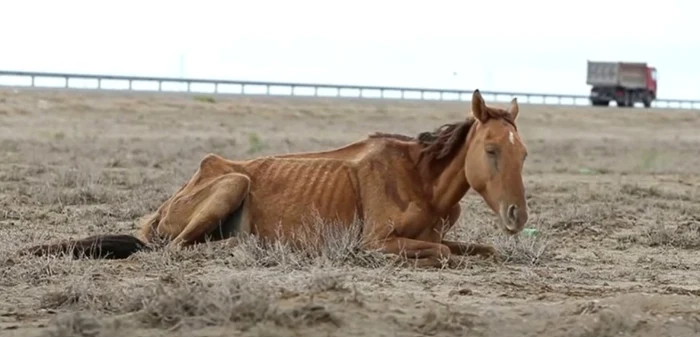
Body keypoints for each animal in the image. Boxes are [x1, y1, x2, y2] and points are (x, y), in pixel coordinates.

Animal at [21, 89, 528, 268]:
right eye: (490, 150)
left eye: (523, 153)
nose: (517, 216)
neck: (420, 179)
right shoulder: (373, 244)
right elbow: (443, 253)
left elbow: (475, 250)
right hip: (232, 184)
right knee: (175, 249)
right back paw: (242, 246)